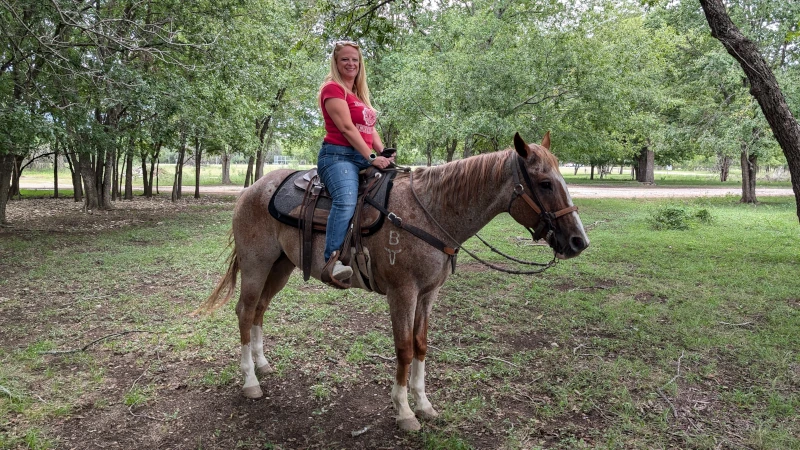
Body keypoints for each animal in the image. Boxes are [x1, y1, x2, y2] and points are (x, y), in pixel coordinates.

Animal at [197, 133, 592, 432]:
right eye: (545, 183)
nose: (578, 241)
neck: (431, 212)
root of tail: (251, 189)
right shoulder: (402, 293)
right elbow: (403, 348)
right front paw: (403, 411)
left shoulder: (428, 294)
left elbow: (420, 345)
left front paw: (424, 404)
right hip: (256, 264)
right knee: (245, 311)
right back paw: (250, 381)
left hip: (280, 267)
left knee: (260, 310)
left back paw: (262, 365)